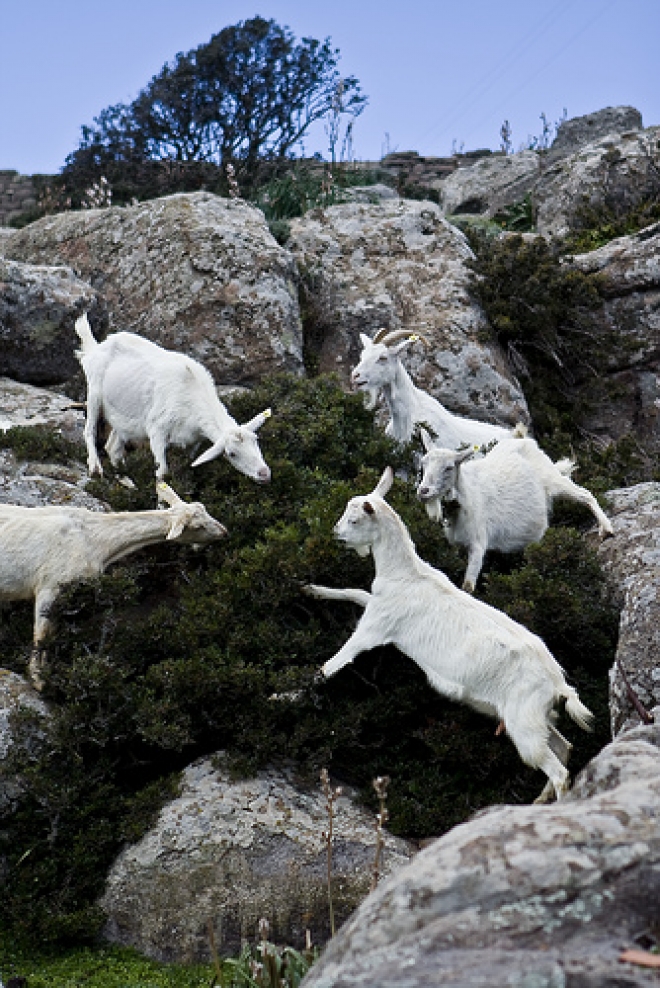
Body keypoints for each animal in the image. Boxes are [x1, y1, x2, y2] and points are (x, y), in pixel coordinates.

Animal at [0, 480, 227, 688]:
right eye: (196, 526)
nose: (224, 532)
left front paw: (46, 674)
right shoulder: (49, 585)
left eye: (203, 508)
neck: (96, 541)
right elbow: (40, 634)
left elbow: (52, 634)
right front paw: (38, 680)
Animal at [75, 314, 274, 484]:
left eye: (255, 440)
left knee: (113, 448)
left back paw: (126, 479)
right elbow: (162, 473)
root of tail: (96, 347)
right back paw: (95, 468)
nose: (264, 473)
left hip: (123, 416)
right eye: (231, 453)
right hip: (94, 392)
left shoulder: (192, 443)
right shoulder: (157, 430)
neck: (193, 395)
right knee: (89, 430)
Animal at [306, 468, 596, 804]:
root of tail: (558, 682)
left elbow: (330, 666)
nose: (336, 534)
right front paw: (312, 589)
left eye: (354, 520)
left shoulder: (372, 630)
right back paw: (540, 800)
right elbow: (353, 592)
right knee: (564, 747)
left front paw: (285, 696)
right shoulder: (378, 611)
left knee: (558, 771)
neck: (405, 575)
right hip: (539, 717)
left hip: (523, 723)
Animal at [418, 428, 612, 592]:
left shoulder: (478, 544)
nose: (423, 491)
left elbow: (468, 586)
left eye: (449, 467)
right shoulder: (456, 545)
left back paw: (607, 529)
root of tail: (527, 442)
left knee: (585, 494)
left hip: (554, 480)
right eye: (423, 463)